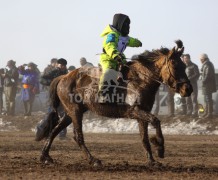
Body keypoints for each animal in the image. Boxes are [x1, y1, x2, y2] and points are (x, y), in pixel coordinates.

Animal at [39, 40, 192, 167]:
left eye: (184, 65)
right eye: (175, 65)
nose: (188, 89)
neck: (140, 80)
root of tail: (63, 77)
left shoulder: (142, 114)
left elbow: (144, 138)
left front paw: (152, 160)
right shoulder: (134, 111)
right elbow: (156, 121)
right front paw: (159, 147)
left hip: (70, 113)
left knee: (55, 130)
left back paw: (45, 157)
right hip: (75, 112)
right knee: (78, 136)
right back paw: (93, 160)